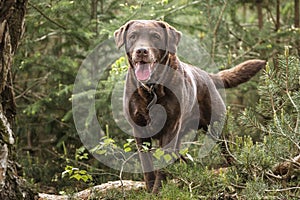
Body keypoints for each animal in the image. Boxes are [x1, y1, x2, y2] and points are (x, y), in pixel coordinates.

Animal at [113, 19, 266, 193]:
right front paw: (150, 189)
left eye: (155, 36)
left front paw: (158, 191)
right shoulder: (139, 129)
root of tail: (208, 76)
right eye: (133, 36)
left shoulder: (170, 127)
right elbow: (147, 164)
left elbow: (163, 163)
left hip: (217, 128)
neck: (151, 90)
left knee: (227, 151)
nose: (141, 51)